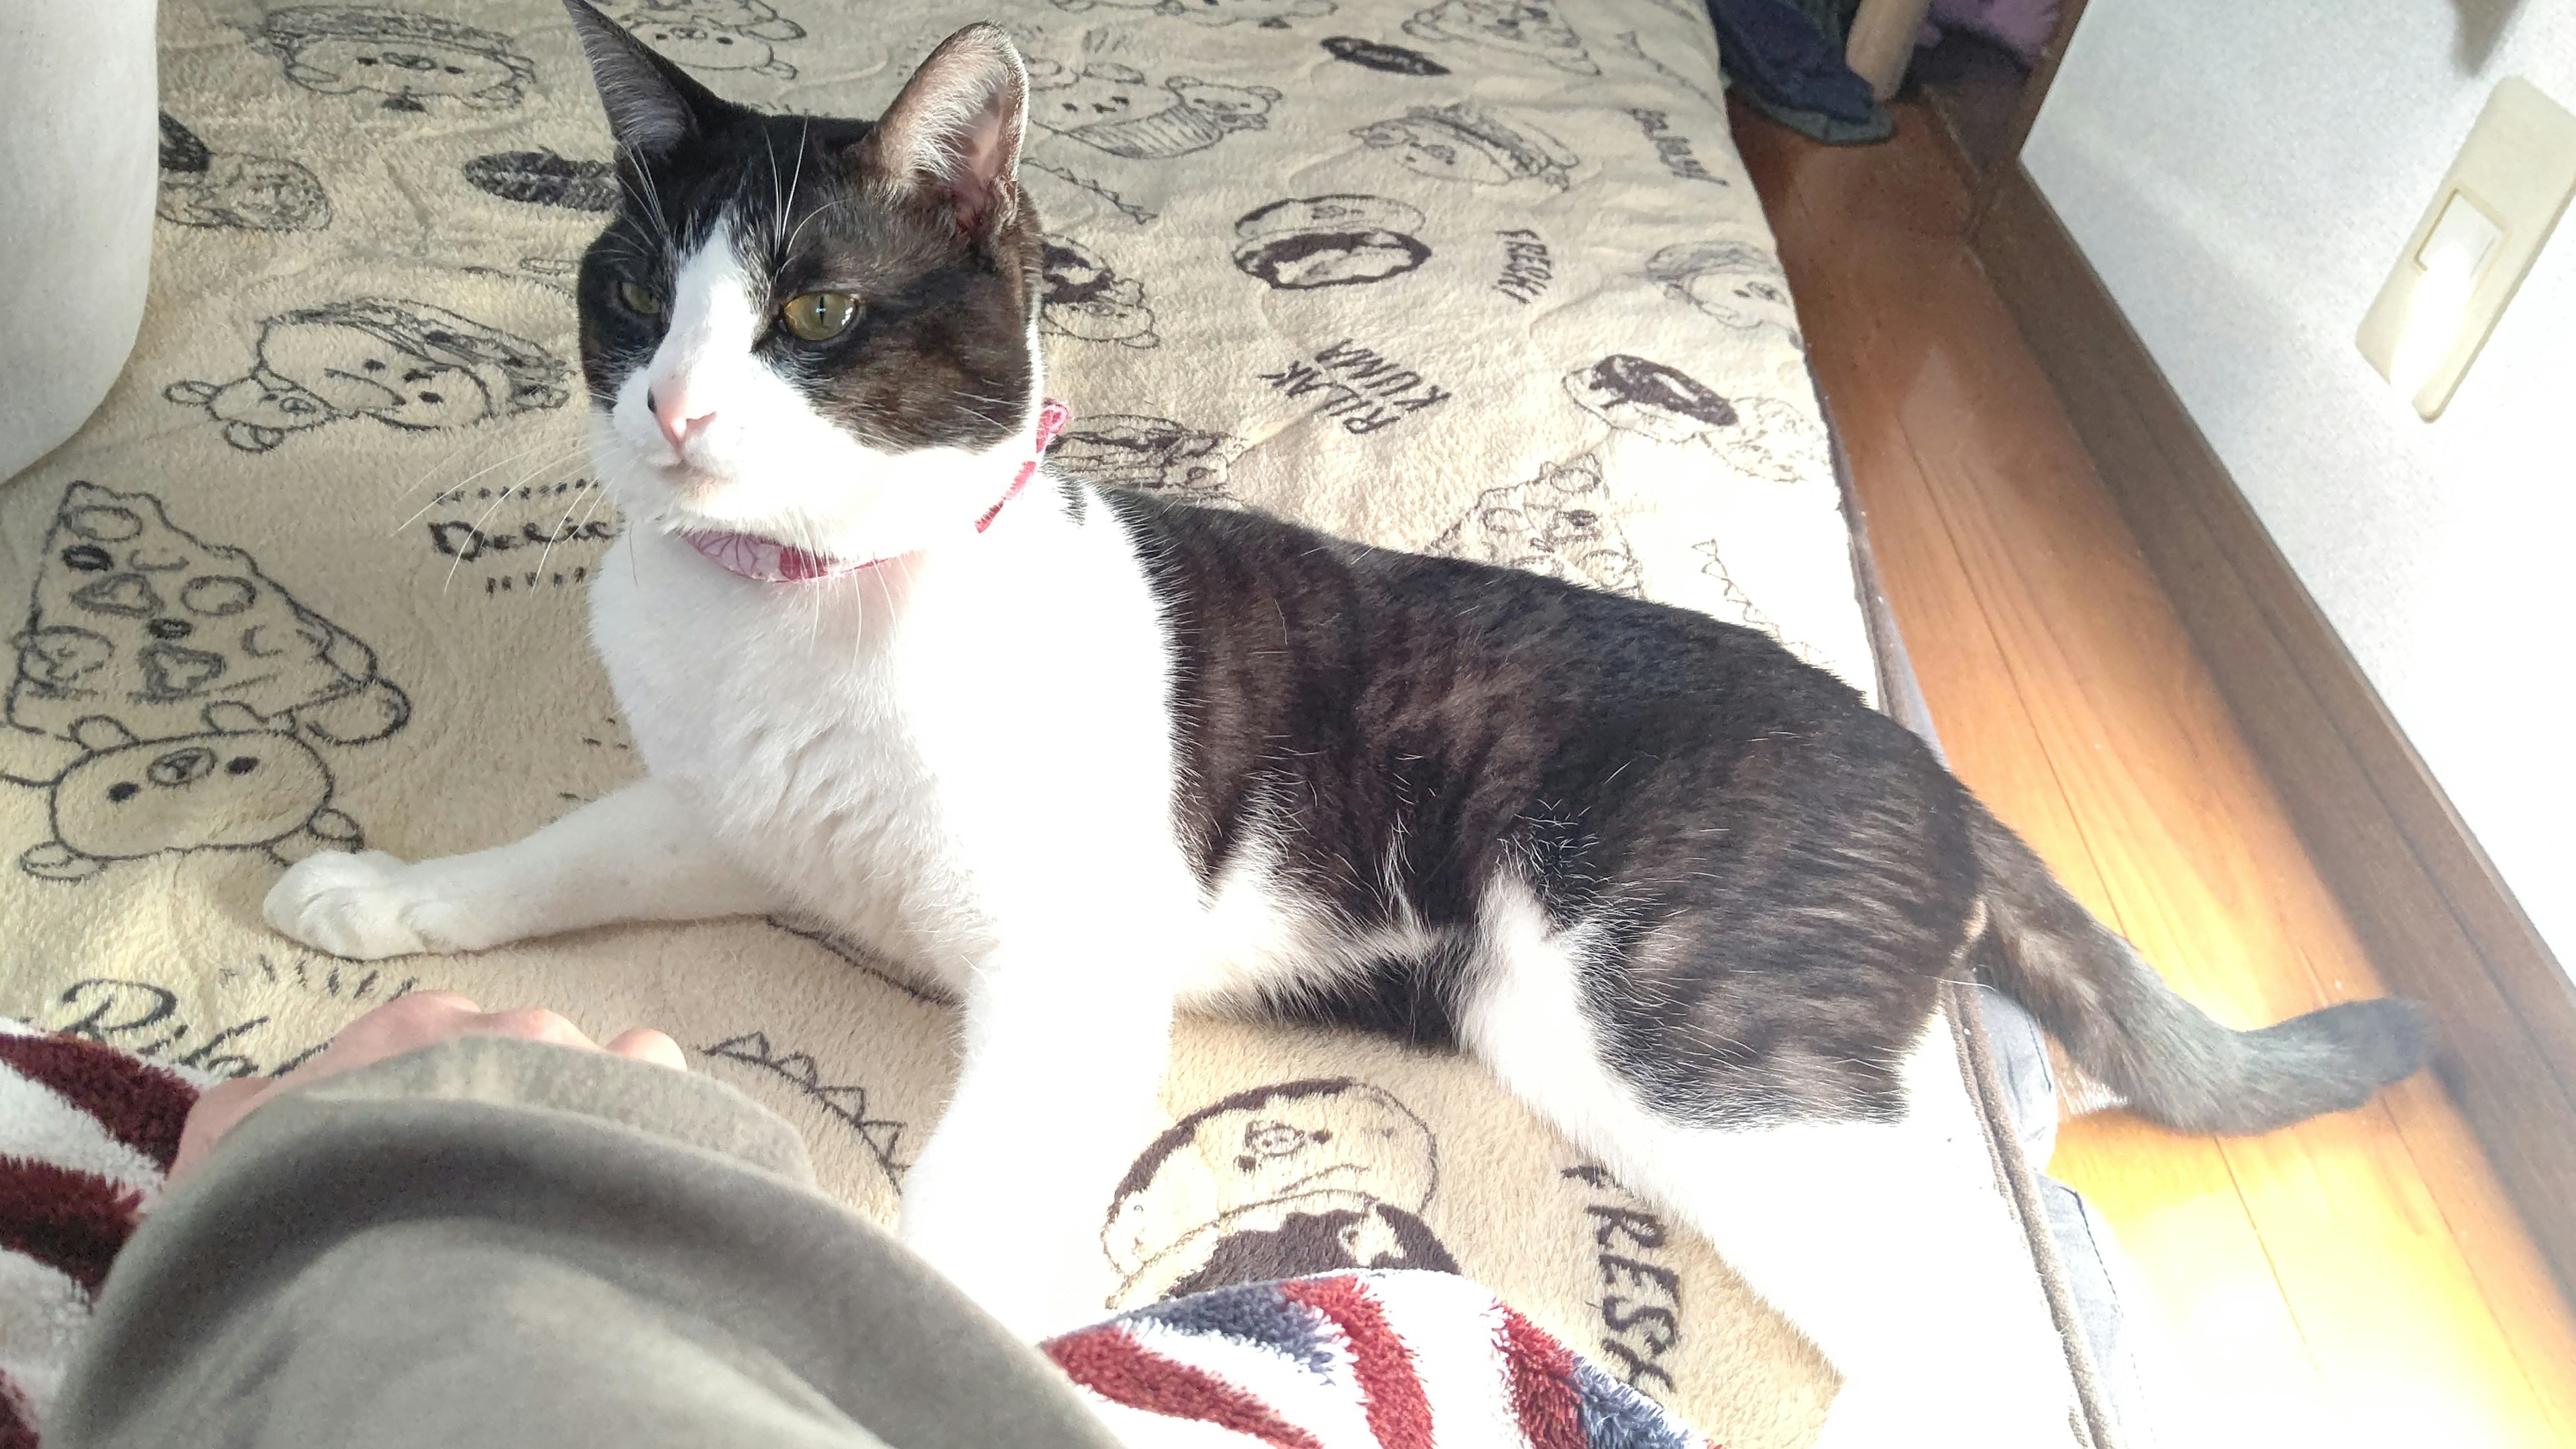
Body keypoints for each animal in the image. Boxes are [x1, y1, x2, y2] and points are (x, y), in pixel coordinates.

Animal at [266, 5, 2431, 1433]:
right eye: (632, 292)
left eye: (813, 314)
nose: (674, 408)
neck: (794, 609)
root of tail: (1934, 773)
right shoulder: (720, 811)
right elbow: (559, 857)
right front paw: (379, 902)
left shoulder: (1065, 967)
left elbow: (956, 1209)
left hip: (1677, 1027)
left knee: (1987, 1327)